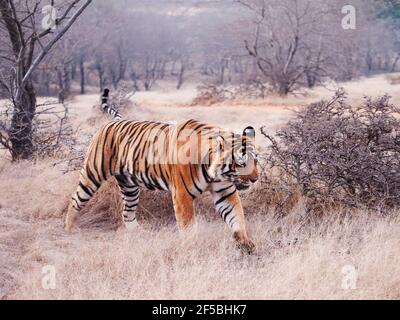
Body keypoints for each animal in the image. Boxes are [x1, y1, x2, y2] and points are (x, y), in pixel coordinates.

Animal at [65, 89, 260, 252]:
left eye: (256, 160)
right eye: (242, 162)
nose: (255, 179)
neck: (215, 173)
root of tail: (116, 121)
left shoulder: (225, 192)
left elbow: (236, 217)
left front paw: (245, 242)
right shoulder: (182, 195)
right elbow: (188, 225)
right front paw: (193, 247)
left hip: (130, 187)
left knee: (127, 212)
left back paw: (139, 233)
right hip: (93, 174)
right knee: (75, 199)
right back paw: (70, 228)